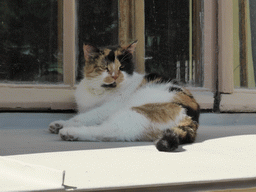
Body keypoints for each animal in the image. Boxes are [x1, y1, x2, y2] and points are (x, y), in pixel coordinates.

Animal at [48, 40, 200, 152]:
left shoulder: (108, 108)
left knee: (105, 130)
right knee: (112, 135)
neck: (98, 91)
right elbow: (81, 117)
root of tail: (191, 118)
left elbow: (83, 117)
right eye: (105, 68)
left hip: (131, 112)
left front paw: (65, 125)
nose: (115, 76)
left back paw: (69, 133)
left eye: (121, 68)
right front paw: (59, 124)